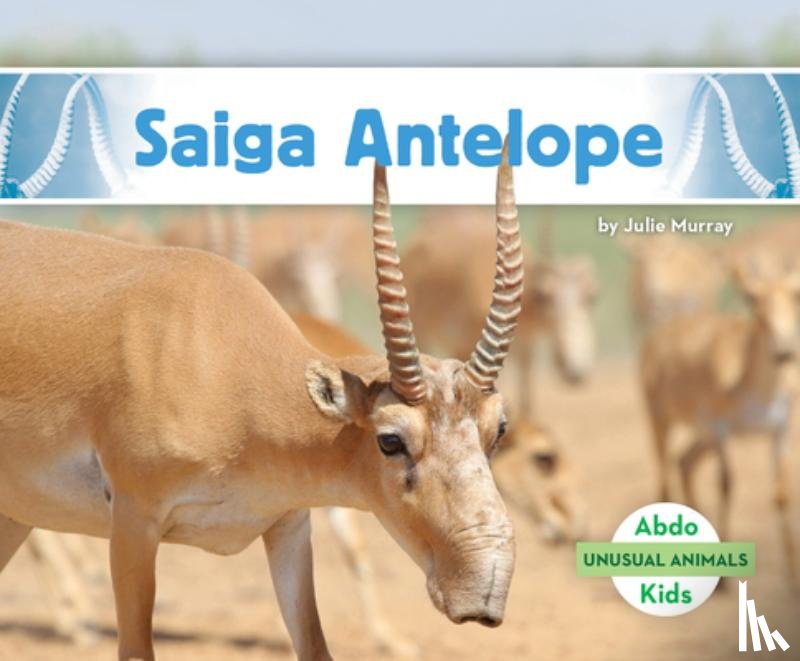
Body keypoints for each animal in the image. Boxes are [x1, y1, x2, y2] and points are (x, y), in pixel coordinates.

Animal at [0, 146, 523, 660]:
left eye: (497, 429)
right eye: (390, 440)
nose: (484, 591)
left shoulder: (289, 525)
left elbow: (314, 646)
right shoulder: (134, 521)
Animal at [640, 252, 799, 582]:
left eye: (796, 293)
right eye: (751, 296)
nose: (784, 352)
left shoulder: (781, 429)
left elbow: (782, 495)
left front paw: (793, 576)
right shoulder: (721, 429)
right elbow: (726, 483)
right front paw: (724, 579)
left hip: (702, 437)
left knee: (684, 463)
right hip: (661, 420)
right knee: (664, 477)